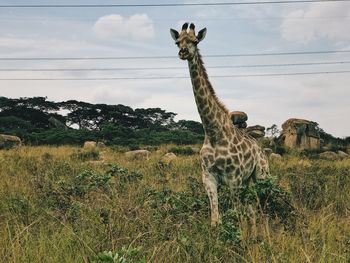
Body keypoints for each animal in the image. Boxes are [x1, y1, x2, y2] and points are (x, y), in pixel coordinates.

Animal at [170, 22, 270, 227]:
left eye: (195, 41)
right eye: (177, 42)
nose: (183, 52)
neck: (213, 131)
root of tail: (261, 149)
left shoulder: (234, 179)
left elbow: (236, 215)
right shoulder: (208, 176)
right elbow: (215, 219)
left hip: (261, 175)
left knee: (259, 206)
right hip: (247, 181)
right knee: (252, 209)